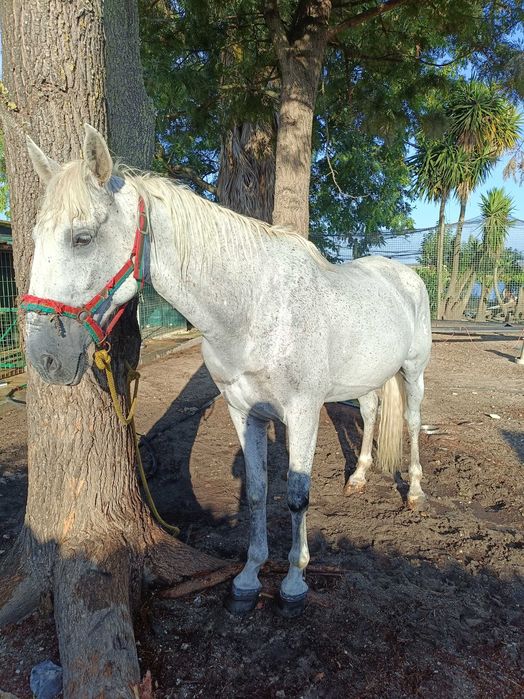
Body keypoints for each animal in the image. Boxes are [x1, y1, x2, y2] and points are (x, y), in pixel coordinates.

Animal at [23, 124, 432, 617]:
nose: (45, 357)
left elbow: (297, 495)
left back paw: (414, 492)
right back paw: (358, 478)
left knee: (412, 422)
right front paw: (249, 579)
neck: (255, 310)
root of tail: (404, 275)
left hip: (413, 372)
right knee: (370, 413)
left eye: (81, 238)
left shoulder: (303, 413)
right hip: (367, 378)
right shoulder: (243, 411)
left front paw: (294, 582)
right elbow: (256, 493)